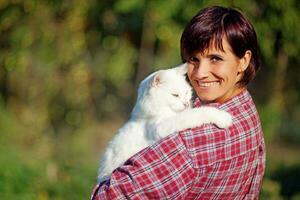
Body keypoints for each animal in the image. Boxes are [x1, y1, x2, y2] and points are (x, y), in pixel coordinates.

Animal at [98, 63, 232, 181]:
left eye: (186, 92)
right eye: (175, 95)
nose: (186, 103)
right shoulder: (162, 126)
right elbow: (196, 114)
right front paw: (223, 117)